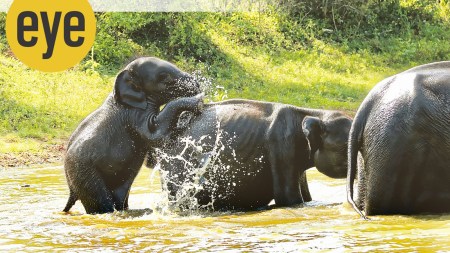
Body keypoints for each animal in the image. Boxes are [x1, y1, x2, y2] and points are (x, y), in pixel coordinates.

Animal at [62, 57, 202, 213]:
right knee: (102, 202)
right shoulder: (134, 116)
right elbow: (156, 135)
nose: (198, 85)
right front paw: (198, 101)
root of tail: (71, 190)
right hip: (84, 174)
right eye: (163, 77)